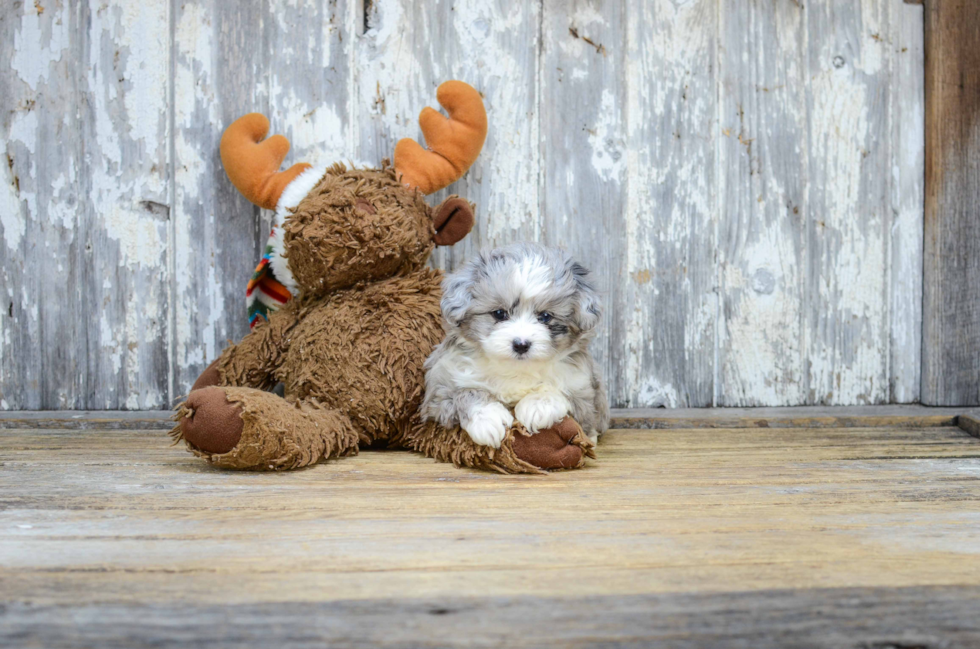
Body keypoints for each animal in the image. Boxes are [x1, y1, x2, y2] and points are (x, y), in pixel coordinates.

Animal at [420, 240, 604, 448]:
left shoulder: (585, 394)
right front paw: (488, 418)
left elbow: (563, 393)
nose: (521, 344)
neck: (515, 368)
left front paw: (538, 405)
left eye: (545, 316)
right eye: (500, 313)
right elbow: (465, 392)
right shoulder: (438, 393)